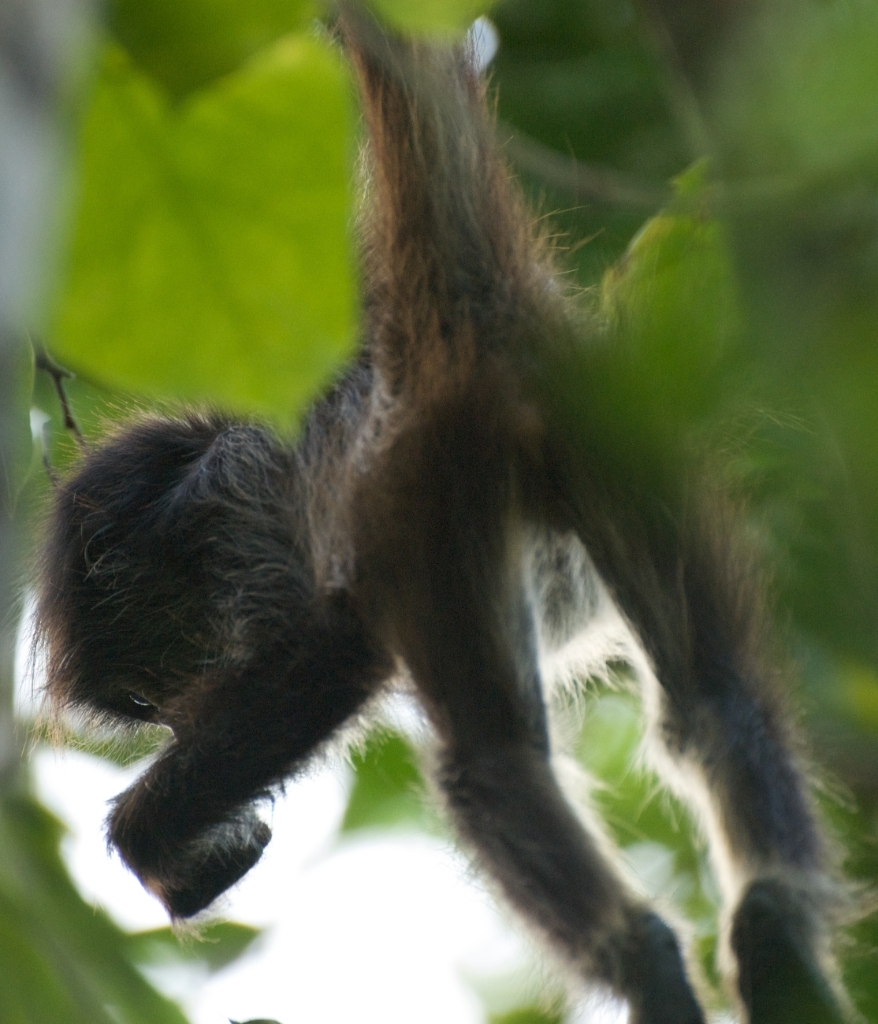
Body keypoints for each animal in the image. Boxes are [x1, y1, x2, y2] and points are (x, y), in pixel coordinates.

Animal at [34, 7, 853, 1023]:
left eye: (157, 694)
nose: (167, 723)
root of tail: (457, 330)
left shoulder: (234, 508)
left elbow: (330, 644)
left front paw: (160, 841)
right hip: (617, 436)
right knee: (714, 705)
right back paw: (777, 931)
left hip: (432, 498)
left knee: (490, 763)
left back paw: (655, 965)